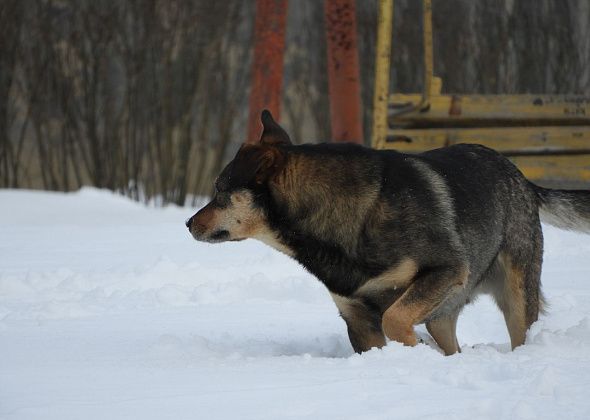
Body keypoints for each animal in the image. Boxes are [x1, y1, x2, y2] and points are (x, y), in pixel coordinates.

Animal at [187, 110, 590, 354]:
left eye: (220, 191)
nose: (188, 223)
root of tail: (522, 178)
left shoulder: (444, 270)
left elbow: (394, 317)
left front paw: (415, 348)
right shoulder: (357, 317)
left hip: (516, 295)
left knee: (521, 332)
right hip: (444, 314)